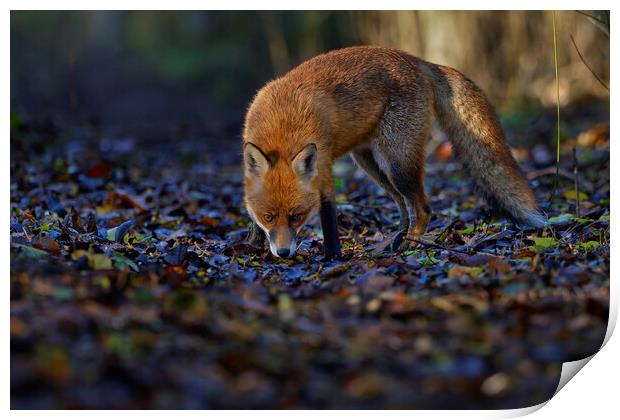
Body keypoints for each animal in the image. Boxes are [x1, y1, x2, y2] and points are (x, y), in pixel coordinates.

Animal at [241, 46, 544, 260]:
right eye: (268, 217)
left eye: (297, 217)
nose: (283, 253)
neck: (283, 127)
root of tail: (417, 60)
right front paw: (252, 246)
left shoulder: (324, 170)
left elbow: (328, 217)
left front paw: (332, 257)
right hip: (371, 165)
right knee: (403, 207)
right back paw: (394, 242)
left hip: (397, 163)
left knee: (422, 208)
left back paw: (409, 246)